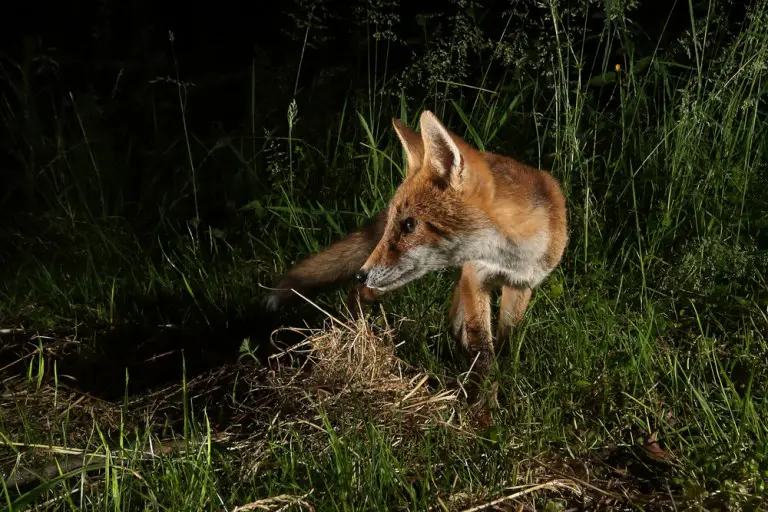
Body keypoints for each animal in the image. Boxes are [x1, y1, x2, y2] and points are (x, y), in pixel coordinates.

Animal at [266, 110, 568, 387]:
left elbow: (505, 343)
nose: (362, 273)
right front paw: (485, 404)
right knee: (359, 294)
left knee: (452, 319)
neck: (509, 255)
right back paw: (354, 335)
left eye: (410, 225)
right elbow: (483, 352)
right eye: (396, 224)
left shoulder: (520, 285)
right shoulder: (476, 278)